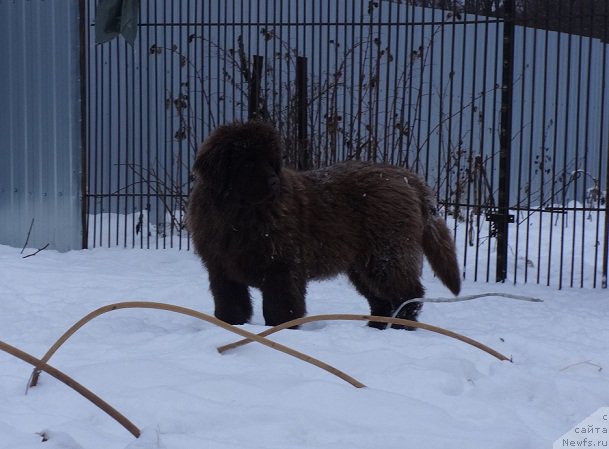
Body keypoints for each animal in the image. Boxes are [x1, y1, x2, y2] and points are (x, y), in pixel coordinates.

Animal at [188, 121, 458, 328]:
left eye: (269, 161)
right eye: (247, 162)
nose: (274, 182)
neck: (239, 216)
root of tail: (405, 176)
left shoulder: (282, 267)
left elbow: (280, 307)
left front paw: (279, 331)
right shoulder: (221, 268)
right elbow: (230, 304)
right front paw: (232, 326)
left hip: (387, 254)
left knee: (408, 293)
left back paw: (402, 326)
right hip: (363, 264)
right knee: (381, 299)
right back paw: (376, 327)